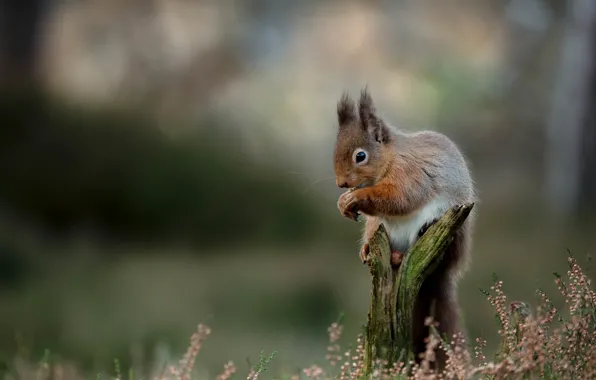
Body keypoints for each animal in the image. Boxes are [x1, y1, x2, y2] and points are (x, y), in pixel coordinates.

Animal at [330, 88, 474, 368]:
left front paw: (356, 197)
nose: (341, 184)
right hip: (379, 227)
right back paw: (375, 251)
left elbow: (398, 198)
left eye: (360, 156)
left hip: (452, 235)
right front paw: (343, 202)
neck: (390, 158)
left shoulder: (410, 174)